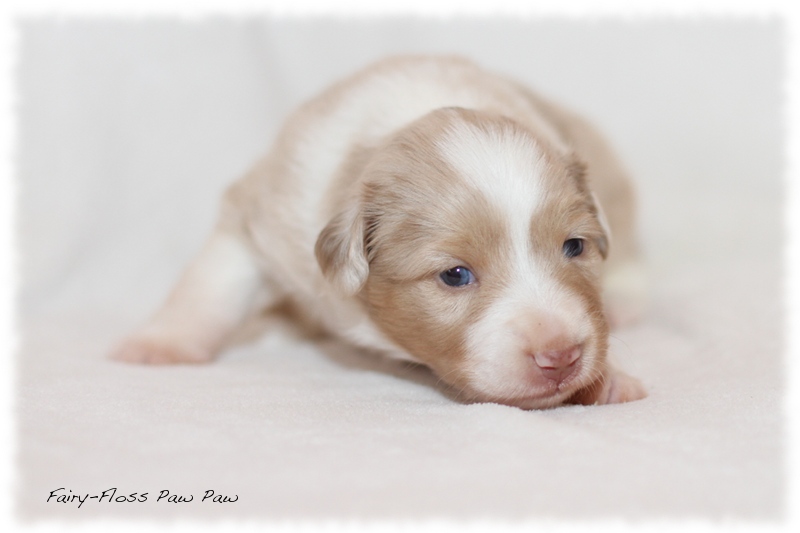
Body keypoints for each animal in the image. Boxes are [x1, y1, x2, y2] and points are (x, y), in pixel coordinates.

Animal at [112, 56, 648, 408]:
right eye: (455, 275)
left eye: (574, 247)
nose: (561, 355)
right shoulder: (263, 214)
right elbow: (213, 287)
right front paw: (160, 345)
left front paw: (608, 379)